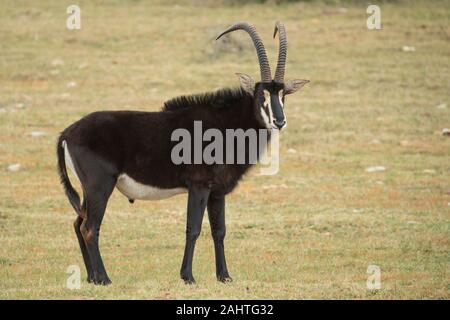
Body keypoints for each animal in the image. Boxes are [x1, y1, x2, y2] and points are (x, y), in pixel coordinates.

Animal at [56, 21, 310, 284]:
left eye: (283, 94)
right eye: (262, 94)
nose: (279, 121)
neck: (225, 124)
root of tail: (67, 133)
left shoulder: (217, 192)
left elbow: (219, 231)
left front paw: (224, 276)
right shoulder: (199, 186)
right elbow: (193, 229)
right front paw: (187, 276)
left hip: (89, 190)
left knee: (78, 223)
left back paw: (91, 277)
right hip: (100, 186)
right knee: (89, 227)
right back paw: (104, 278)